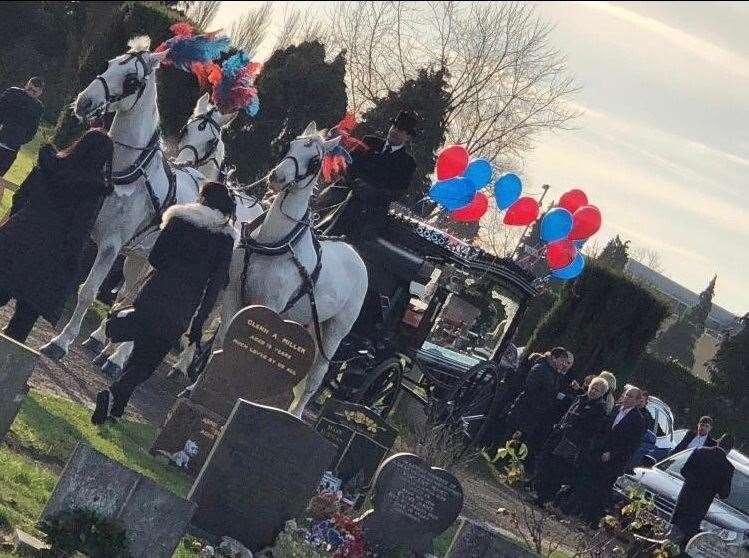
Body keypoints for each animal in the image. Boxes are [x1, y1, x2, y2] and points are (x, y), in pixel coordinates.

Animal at [39, 40, 206, 364]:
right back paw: (102, 343)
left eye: (131, 80)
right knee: (128, 296)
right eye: (109, 64)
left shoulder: (111, 245)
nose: (85, 102)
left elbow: (88, 291)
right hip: (138, 256)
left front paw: (60, 342)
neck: (125, 173)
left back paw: (118, 358)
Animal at [216, 123, 368, 420]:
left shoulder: (269, 307)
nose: (277, 177)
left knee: (316, 376)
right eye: (289, 145)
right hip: (308, 322)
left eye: (315, 161)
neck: (274, 242)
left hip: (334, 330)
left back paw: (295, 415)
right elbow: (225, 336)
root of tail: (355, 255)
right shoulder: (232, 293)